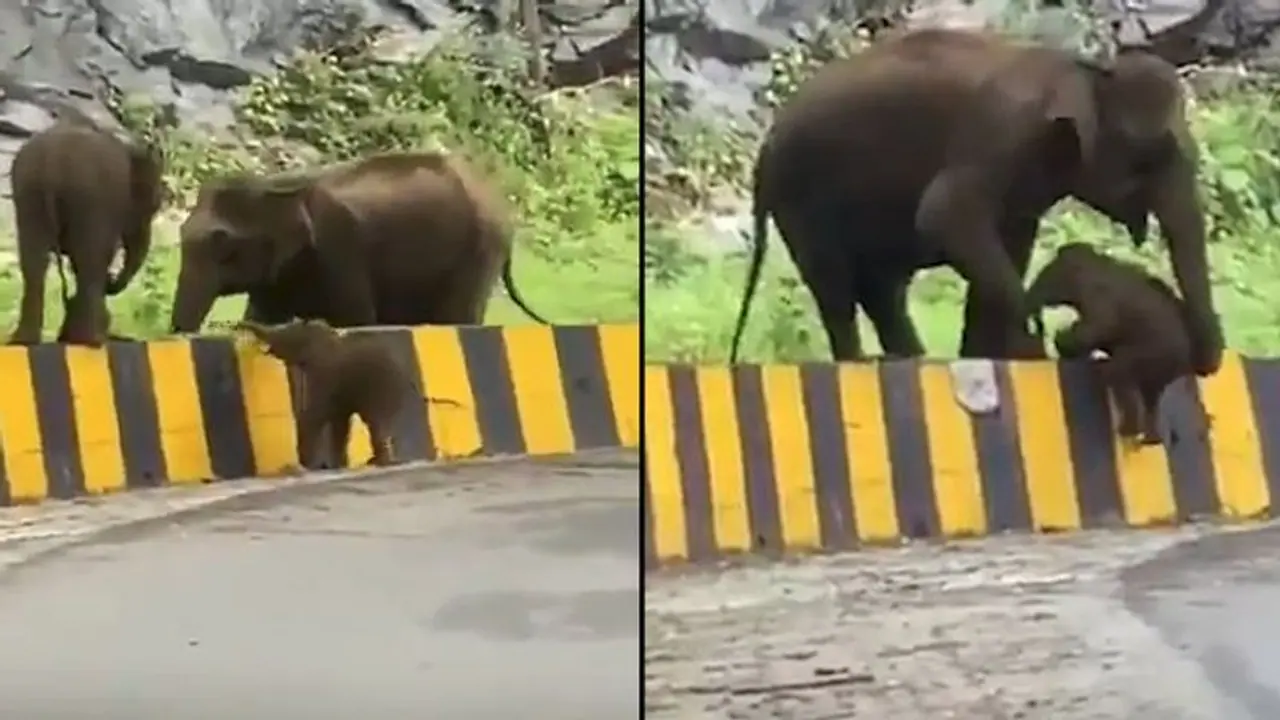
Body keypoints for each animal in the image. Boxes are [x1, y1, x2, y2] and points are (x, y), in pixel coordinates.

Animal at [8, 120, 165, 346]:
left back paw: (25, 341)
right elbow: (100, 255)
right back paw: (91, 340)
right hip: (87, 196)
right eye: (155, 206)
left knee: (33, 262)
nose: (112, 280)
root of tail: (51, 161)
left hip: (28, 194)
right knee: (89, 261)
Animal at [171, 151, 550, 333]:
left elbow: (356, 321)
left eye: (222, 243)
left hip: (479, 248)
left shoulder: (340, 251)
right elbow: (261, 318)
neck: (277, 185)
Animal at [236, 319, 410, 470]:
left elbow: (316, 412)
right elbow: (339, 421)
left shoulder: (324, 373)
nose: (236, 325)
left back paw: (379, 462)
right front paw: (337, 465)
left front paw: (309, 466)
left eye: (285, 334)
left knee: (376, 421)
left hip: (382, 388)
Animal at [728, 28, 1223, 377]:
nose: (1202, 361)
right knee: (835, 286)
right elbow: (946, 213)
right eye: (1150, 154)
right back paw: (865, 363)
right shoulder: (1000, 129)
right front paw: (1033, 351)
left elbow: (1009, 244)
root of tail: (765, 144)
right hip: (800, 200)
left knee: (882, 287)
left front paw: (994, 357)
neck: (1086, 70)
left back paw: (913, 359)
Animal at [1026, 243, 1196, 445]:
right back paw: (1150, 439)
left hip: (1150, 354)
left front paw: (1063, 339)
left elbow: (1100, 325)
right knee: (1150, 397)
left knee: (1119, 375)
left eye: (1047, 276)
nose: (1038, 324)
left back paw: (1128, 431)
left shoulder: (1096, 293)